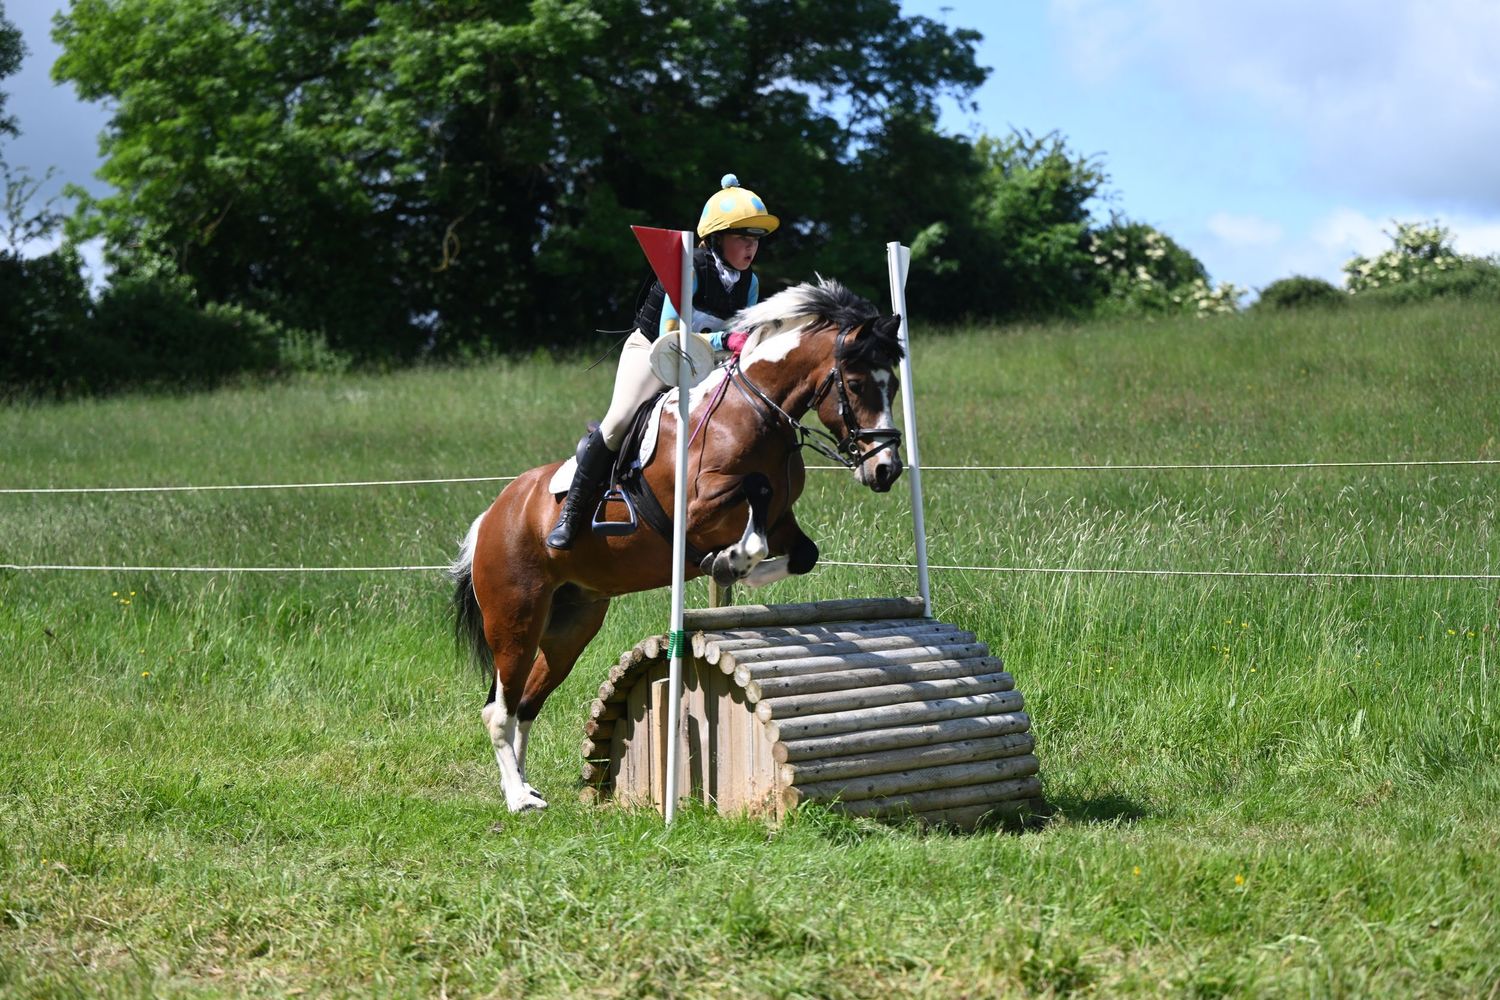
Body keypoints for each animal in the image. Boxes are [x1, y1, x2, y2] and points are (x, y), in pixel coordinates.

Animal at [449, 277, 907, 812]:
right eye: (855, 384)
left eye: (893, 385)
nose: (886, 469)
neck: (754, 411)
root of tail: (491, 516)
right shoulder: (697, 509)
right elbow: (755, 494)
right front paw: (728, 562)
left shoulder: (781, 522)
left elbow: (799, 552)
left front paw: (732, 568)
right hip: (515, 617)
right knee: (499, 710)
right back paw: (518, 800)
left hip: (570, 624)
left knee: (525, 703)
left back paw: (524, 787)